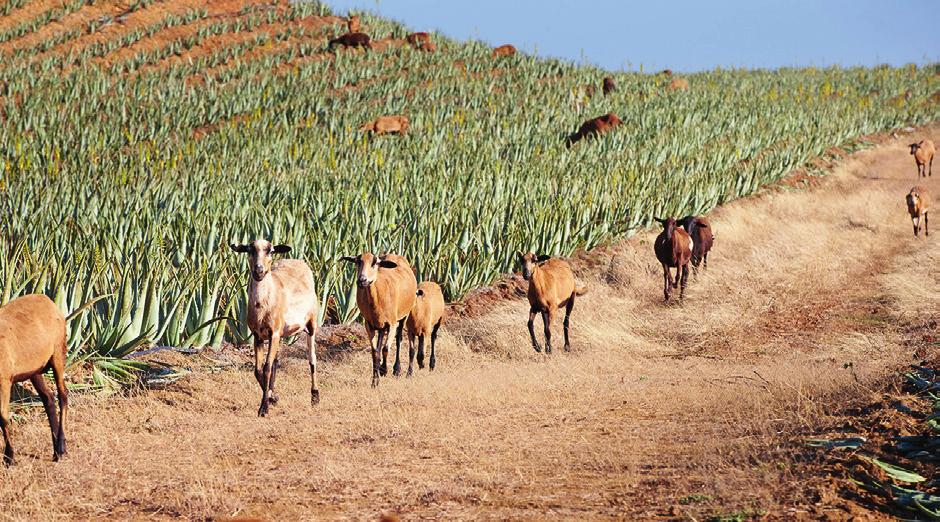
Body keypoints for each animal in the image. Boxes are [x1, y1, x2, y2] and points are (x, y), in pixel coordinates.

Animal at [0, 292, 69, 464]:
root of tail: (47, 299)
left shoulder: (4, 379)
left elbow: (2, 416)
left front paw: (9, 457)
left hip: (58, 351)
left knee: (63, 394)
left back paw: (61, 448)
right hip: (35, 369)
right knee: (48, 398)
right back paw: (56, 450)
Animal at [232, 239, 322, 414]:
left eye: (271, 251)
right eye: (249, 250)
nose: (259, 271)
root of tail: (298, 260)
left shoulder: (273, 333)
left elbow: (266, 368)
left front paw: (264, 408)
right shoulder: (258, 336)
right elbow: (258, 370)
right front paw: (272, 397)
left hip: (311, 323)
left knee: (312, 358)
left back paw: (315, 397)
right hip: (281, 334)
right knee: (276, 362)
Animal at [340, 252, 416, 386]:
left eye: (374, 263)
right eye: (358, 262)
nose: (362, 280)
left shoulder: (392, 323)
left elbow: (385, 349)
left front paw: (384, 370)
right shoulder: (369, 325)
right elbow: (375, 352)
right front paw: (375, 381)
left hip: (404, 316)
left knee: (399, 339)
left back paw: (397, 369)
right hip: (380, 325)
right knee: (381, 343)